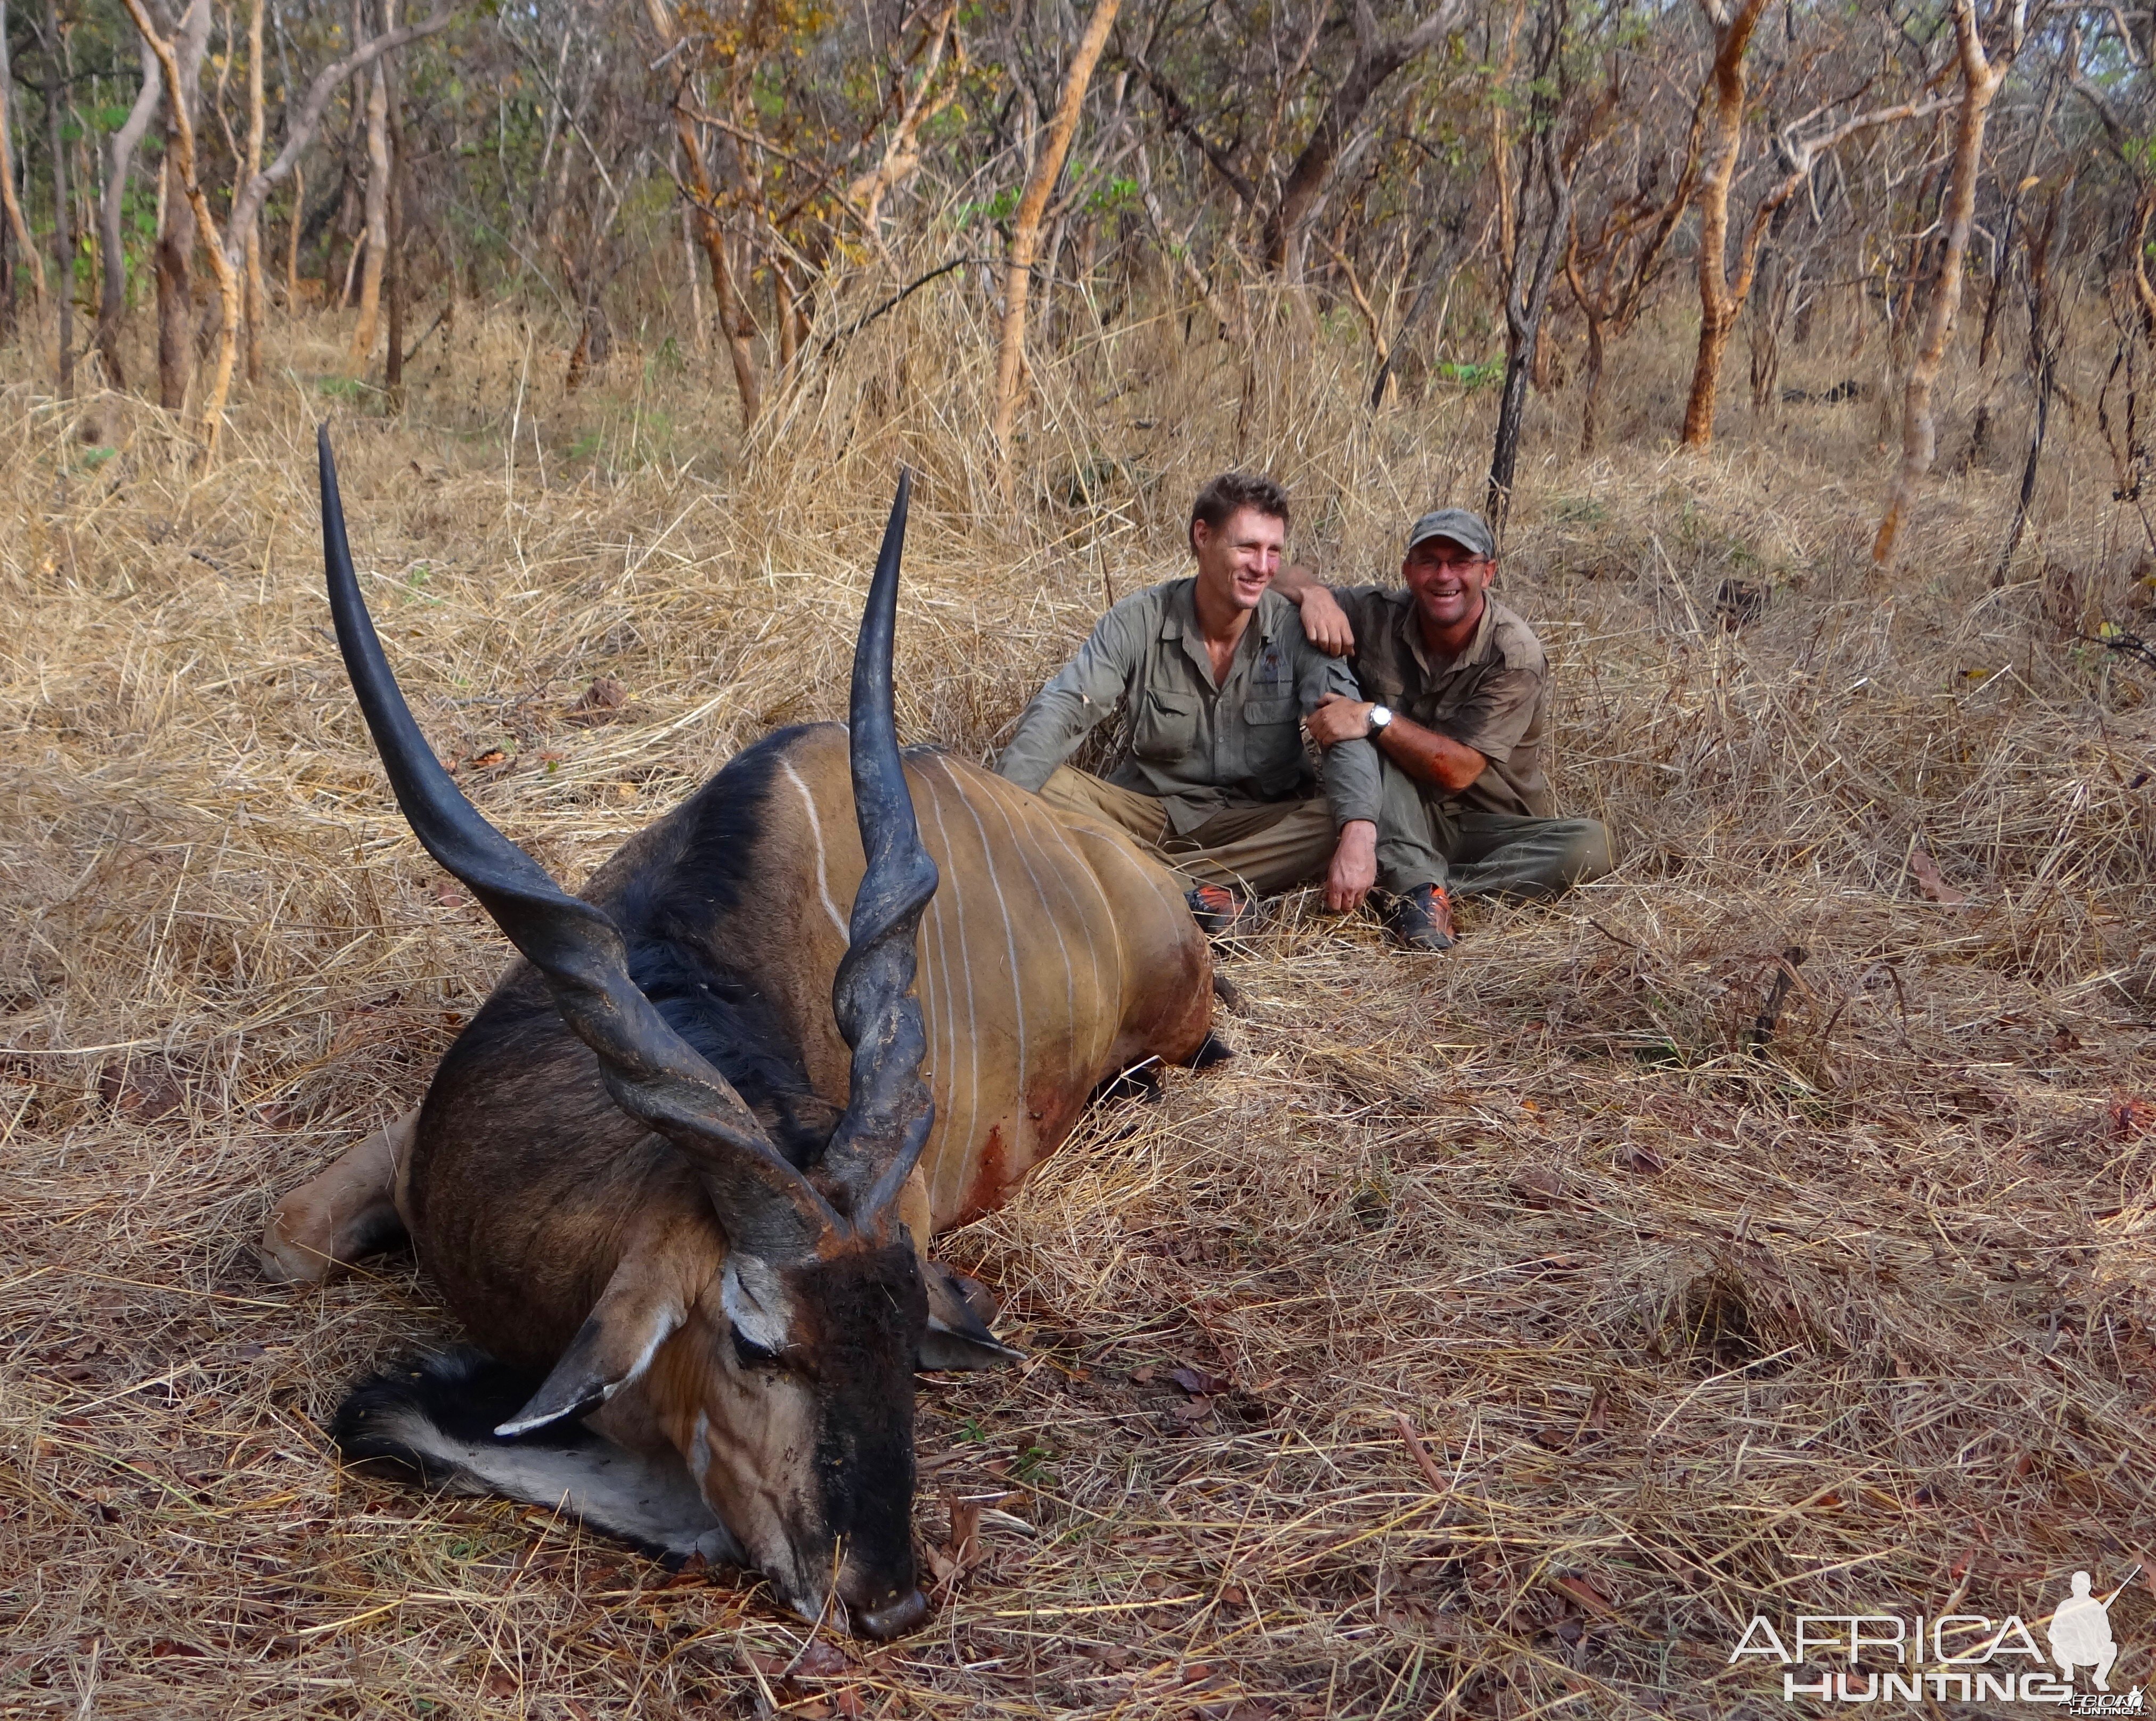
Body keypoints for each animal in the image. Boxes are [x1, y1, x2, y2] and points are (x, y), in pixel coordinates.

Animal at [280, 442, 1233, 1648]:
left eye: (905, 1333)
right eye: (754, 1344)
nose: (889, 1594)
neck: (689, 967)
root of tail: (1137, 874)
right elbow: (293, 1249)